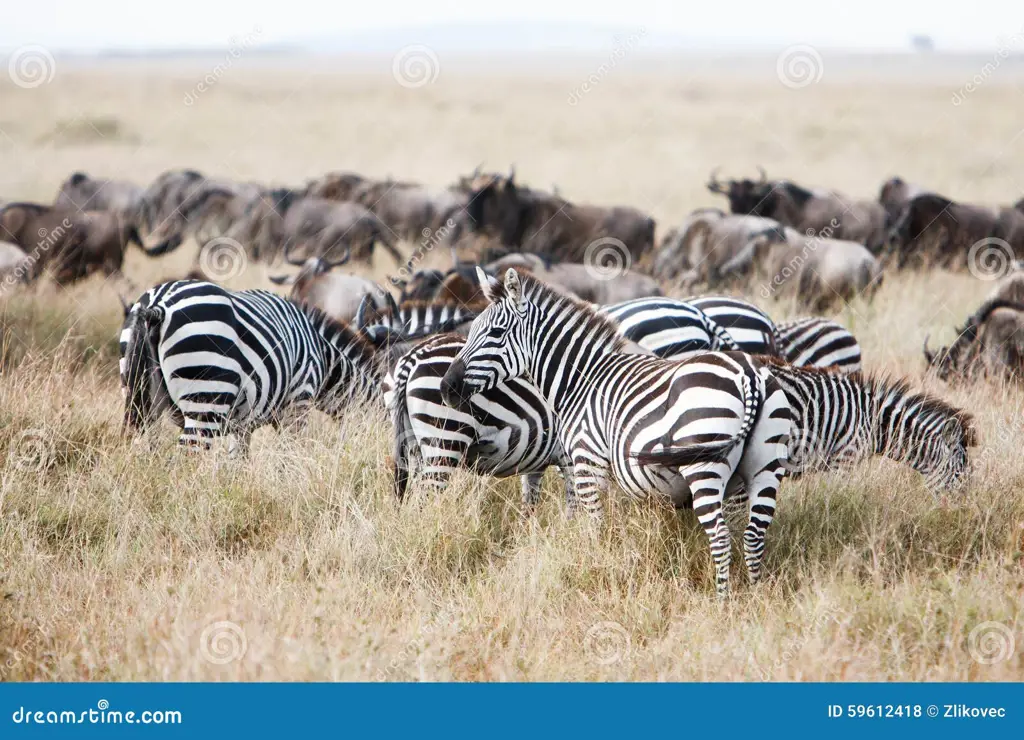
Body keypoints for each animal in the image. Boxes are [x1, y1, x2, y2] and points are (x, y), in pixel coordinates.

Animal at [121, 278, 385, 448]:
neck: (322, 354)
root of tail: (157, 305)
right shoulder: (297, 403)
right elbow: (289, 456)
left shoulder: (241, 425)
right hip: (204, 398)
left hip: (139, 397)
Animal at [382, 333, 569, 505]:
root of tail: (415, 355)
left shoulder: (538, 464)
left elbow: (530, 505)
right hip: (444, 439)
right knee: (424, 500)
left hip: (412, 446)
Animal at [442, 270, 790, 597]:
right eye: (471, 331)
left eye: (496, 333)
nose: (447, 387)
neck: (580, 380)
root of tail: (748, 374)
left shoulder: (586, 460)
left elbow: (593, 525)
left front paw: (592, 570)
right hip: (763, 468)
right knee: (752, 535)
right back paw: (754, 596)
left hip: (704, 466)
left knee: (720, 537)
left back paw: (722, 600)